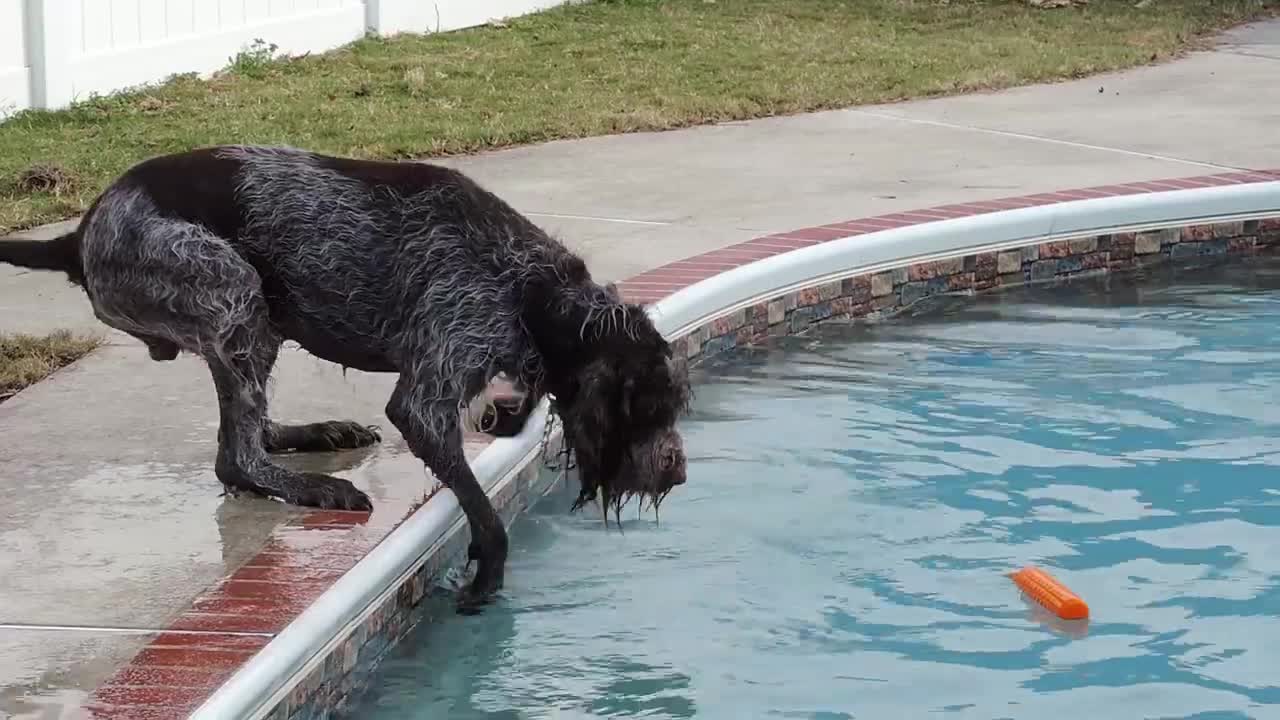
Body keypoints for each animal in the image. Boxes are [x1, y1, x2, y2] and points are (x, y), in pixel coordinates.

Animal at [2, 144, 691, 604]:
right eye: (648, 409)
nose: (679, 470)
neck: (532, 292)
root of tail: (80, 233)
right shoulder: (438, 369)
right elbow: (479, 509)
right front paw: (487, 570)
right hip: (232, 290)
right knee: (234, 458)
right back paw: (312, 486)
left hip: (257, 315)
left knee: (245, 433)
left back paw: (308, 437)